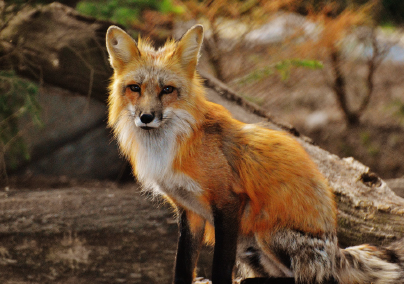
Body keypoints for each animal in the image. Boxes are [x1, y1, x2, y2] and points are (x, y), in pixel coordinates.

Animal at [105, 25, 404, 284]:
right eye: (135, 88)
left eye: (167, 89)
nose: (146, 117)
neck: (171, 144)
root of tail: (336, 252)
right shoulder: (189, 211)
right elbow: (182, 266)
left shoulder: (228, 202)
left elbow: (221, 267)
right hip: (247, 247)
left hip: (265, 233)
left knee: (312, 279)